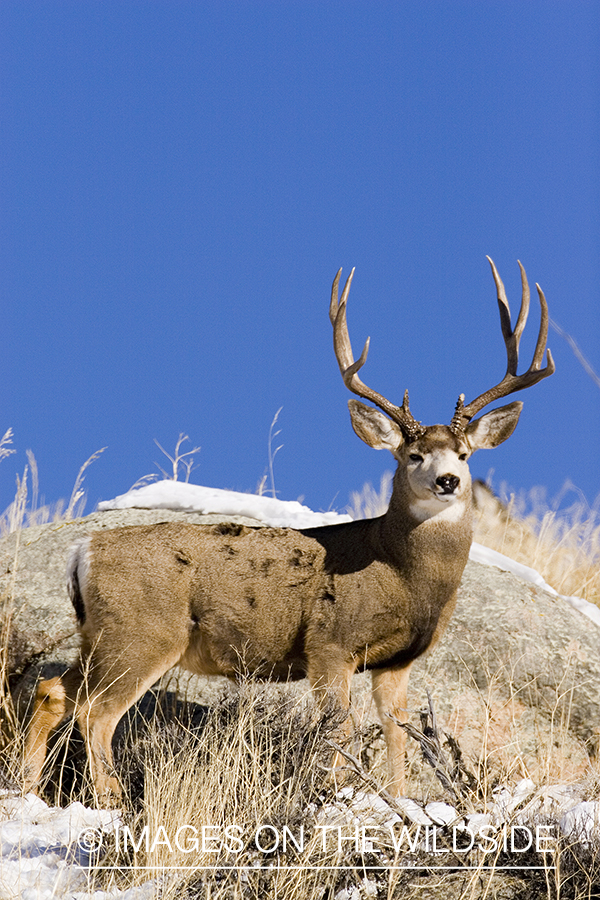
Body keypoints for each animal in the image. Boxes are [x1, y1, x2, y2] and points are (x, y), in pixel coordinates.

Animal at [25, 256, 556, 804]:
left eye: (465, 454)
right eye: (413, 455)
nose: (448, 480)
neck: (402, 575)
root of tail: (83, 550)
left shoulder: (396, 661)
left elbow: (398, 733)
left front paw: (396, 799)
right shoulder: (329, 644)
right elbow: (341, 730)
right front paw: (342, 797)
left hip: (99, 637)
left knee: (51, 692)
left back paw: (25, 787)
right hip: (142, 632)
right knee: (96, 712)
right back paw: (112, 800)